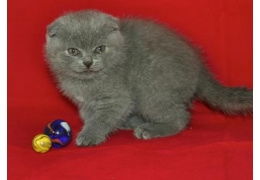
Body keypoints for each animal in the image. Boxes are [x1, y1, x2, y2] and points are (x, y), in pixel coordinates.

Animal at [44, 9, 252, 146]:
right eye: (73, 51)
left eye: (100, 49)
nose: (88, 62)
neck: (86, 83)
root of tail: (200, 67)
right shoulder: (85, 103)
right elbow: (89, 115)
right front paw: (91, 126)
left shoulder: (116, 97)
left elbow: (103, 117)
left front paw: (90, 135)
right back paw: (133, 122)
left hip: (152, 90)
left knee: (180, 117)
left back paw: (150, 129)